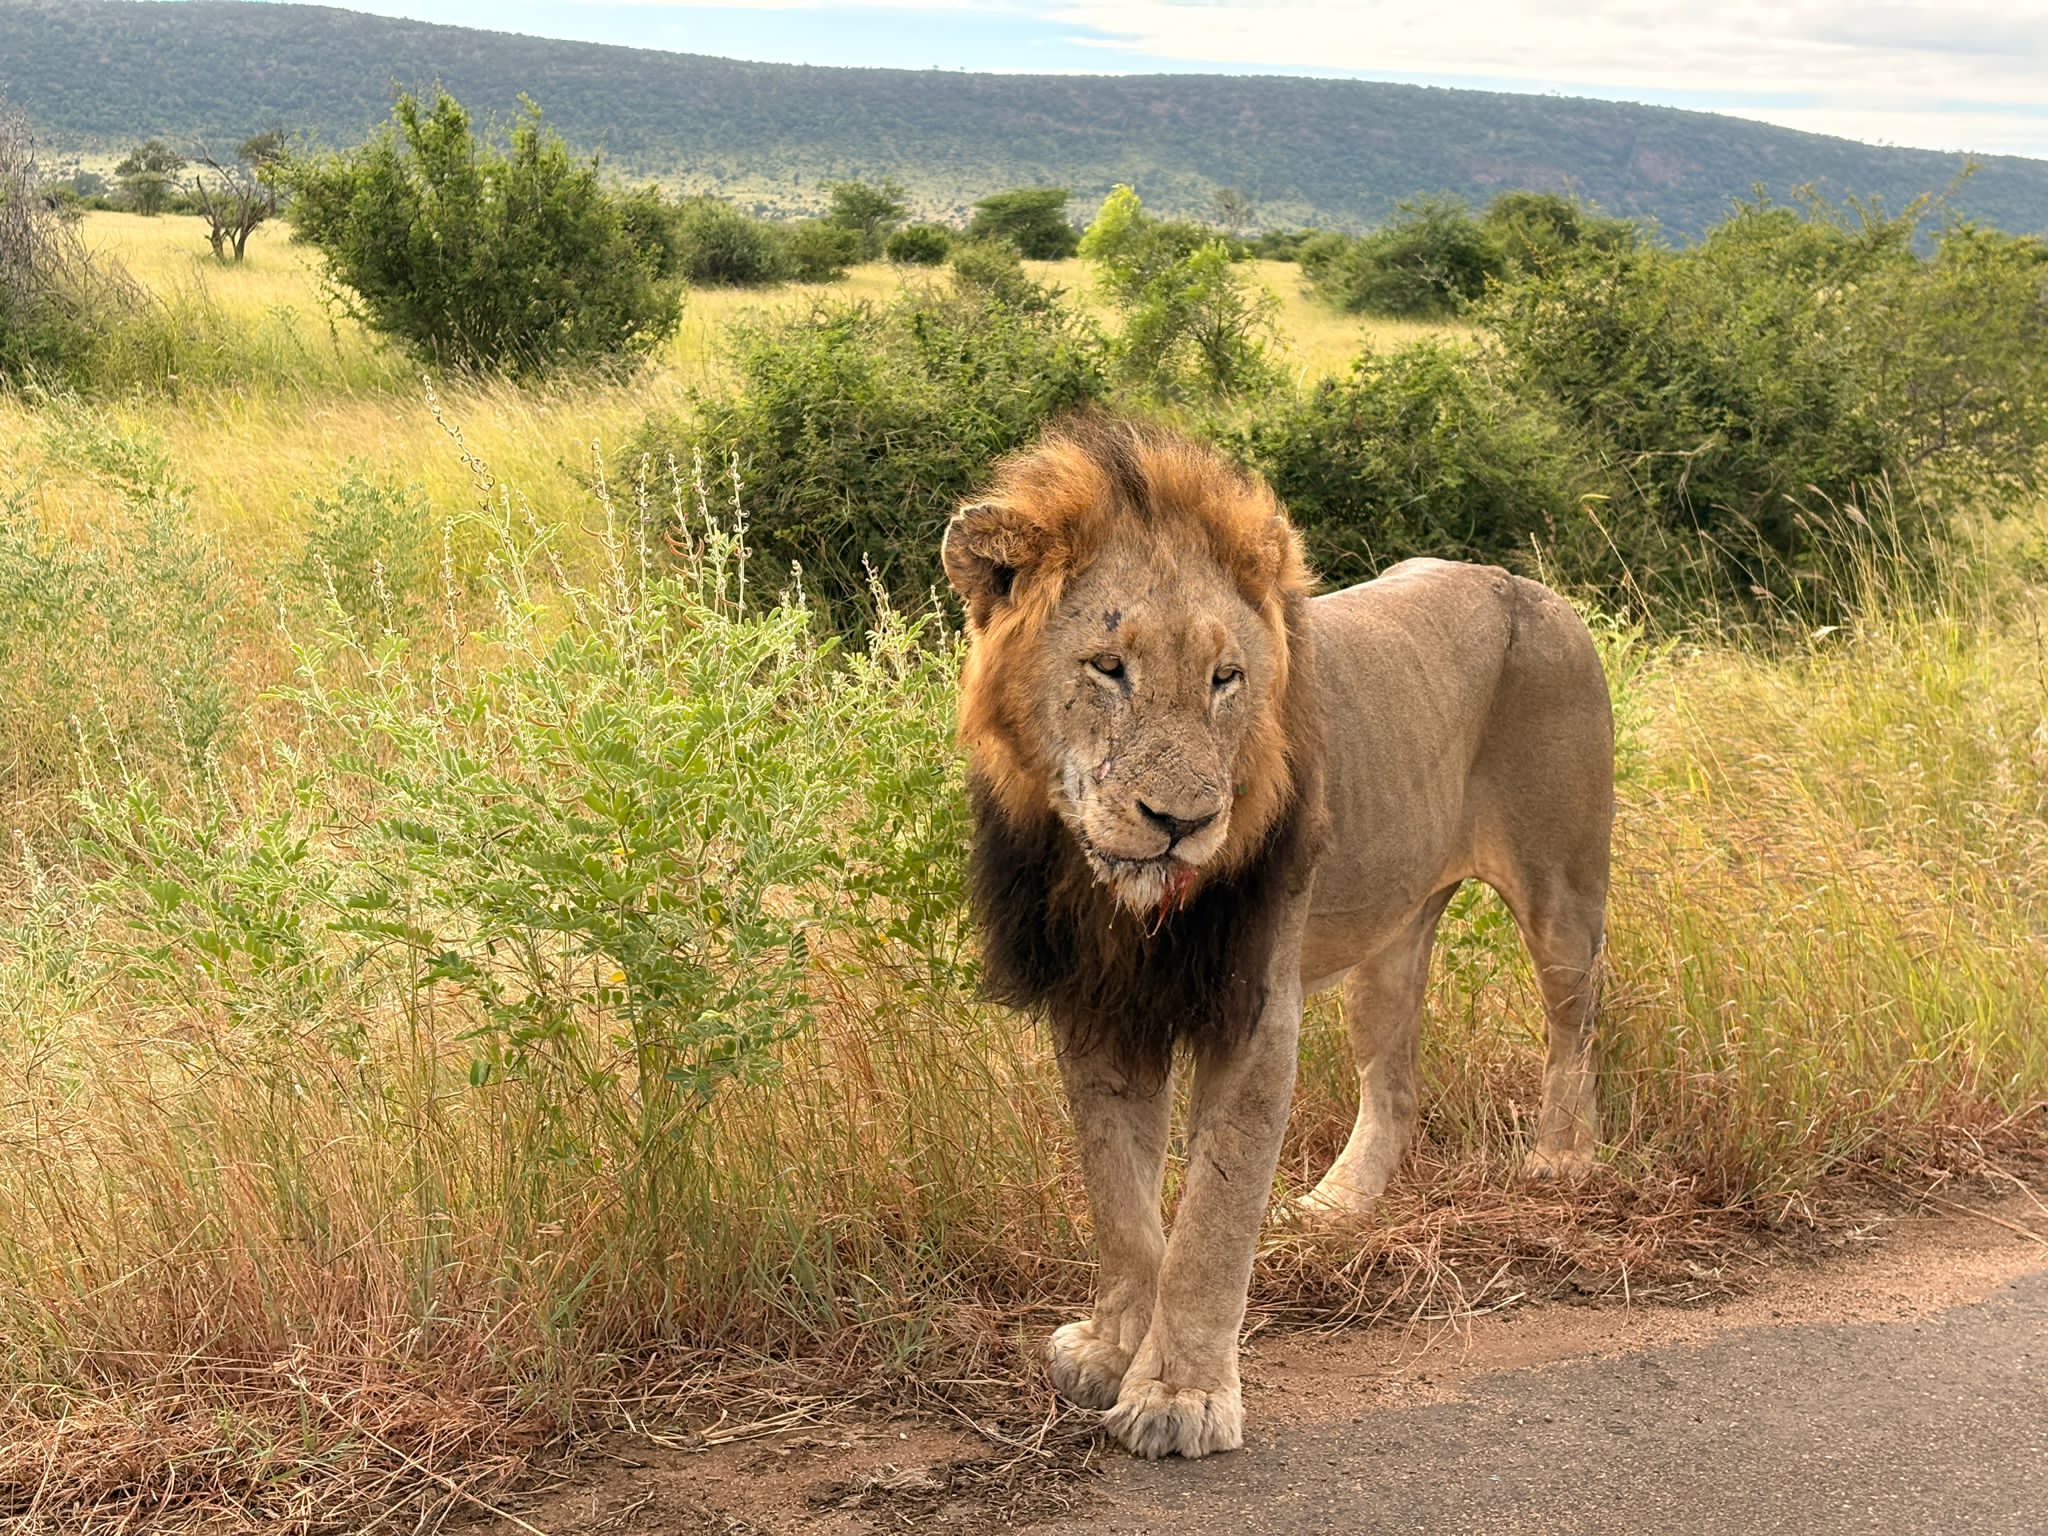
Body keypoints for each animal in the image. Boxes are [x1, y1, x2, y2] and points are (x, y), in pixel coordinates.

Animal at [942, 417, 1615, 1460]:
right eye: (1108, 667)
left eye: (1228, 679)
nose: (1181, 823)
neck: (1114, 900)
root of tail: (1539, 590)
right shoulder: (1099, 1002)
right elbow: (1120, 1199)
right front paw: (1113, 1348)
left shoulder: (1256, 1005)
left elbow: (1212, 1218)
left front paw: (1179, 1397)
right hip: (1391, 939)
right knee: (1397, 1089)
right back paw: (1339, 1209)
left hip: (1563, 893)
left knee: (1575, 1027)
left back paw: (1559, 1163)